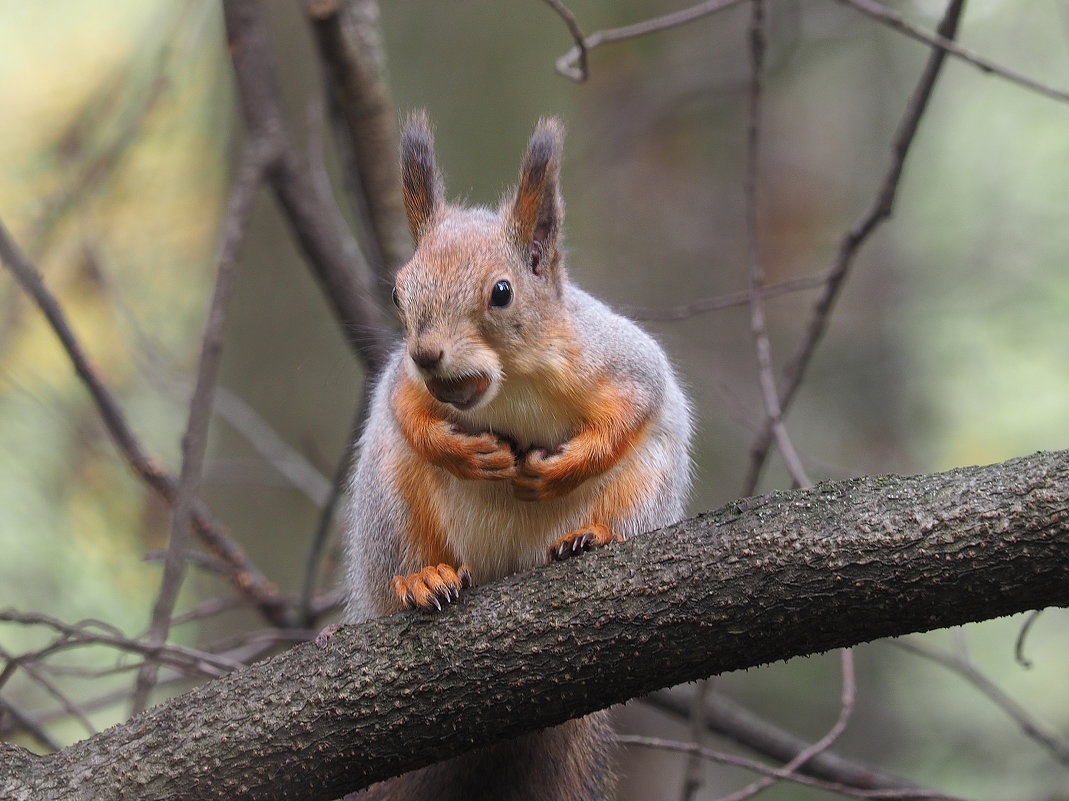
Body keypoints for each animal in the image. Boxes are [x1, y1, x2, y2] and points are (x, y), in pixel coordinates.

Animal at [344, 112, 692, 799]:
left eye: (501, 293)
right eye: (398, 293)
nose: (427, 354)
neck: (511, 385)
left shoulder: (616, 358)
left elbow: (636, 404)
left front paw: (561, 468)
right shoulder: (404, 383)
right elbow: (406, 410)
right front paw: (461, 451)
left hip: (650, 483)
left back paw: (591, 537)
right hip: (389, 501)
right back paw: (422, 579)